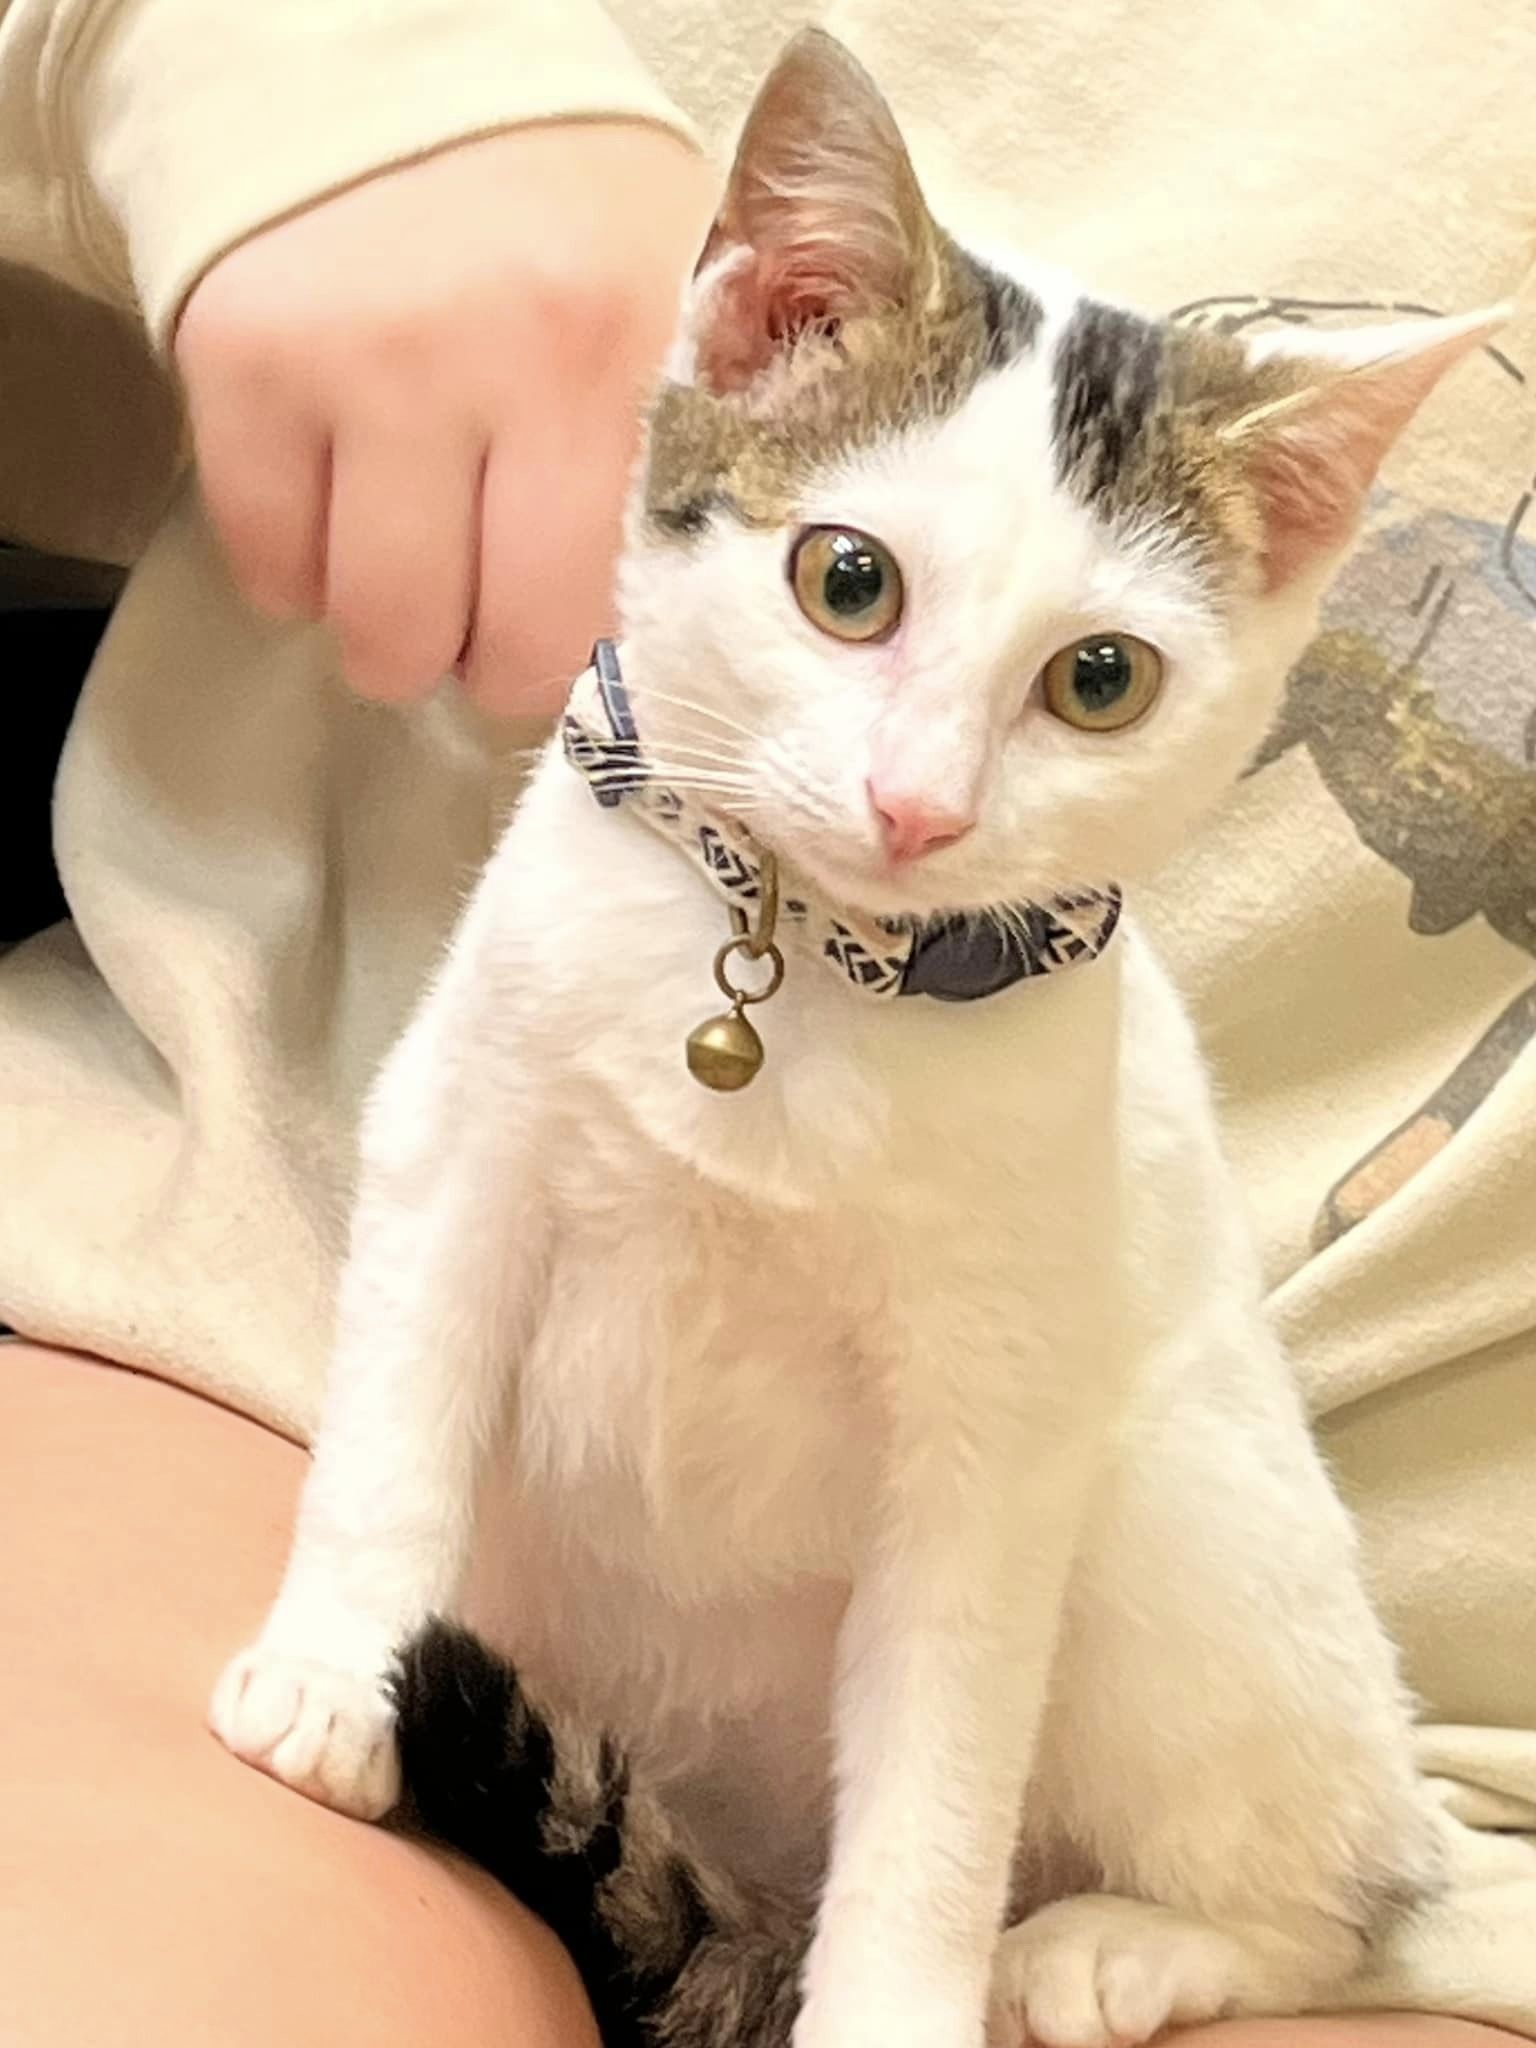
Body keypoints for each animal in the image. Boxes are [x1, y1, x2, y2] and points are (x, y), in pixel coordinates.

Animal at [204, 28, 1507, 2048]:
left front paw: (898, 1999)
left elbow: (944, 1761)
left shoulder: (996, 1416)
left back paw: (1117, 1945)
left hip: (1182, 1521)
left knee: (1337, 1900)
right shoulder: (461, 1141)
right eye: (847, 579)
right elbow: (394, 1431)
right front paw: (337, 1671)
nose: (917, 806)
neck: (803, 958)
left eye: (1101, 679)